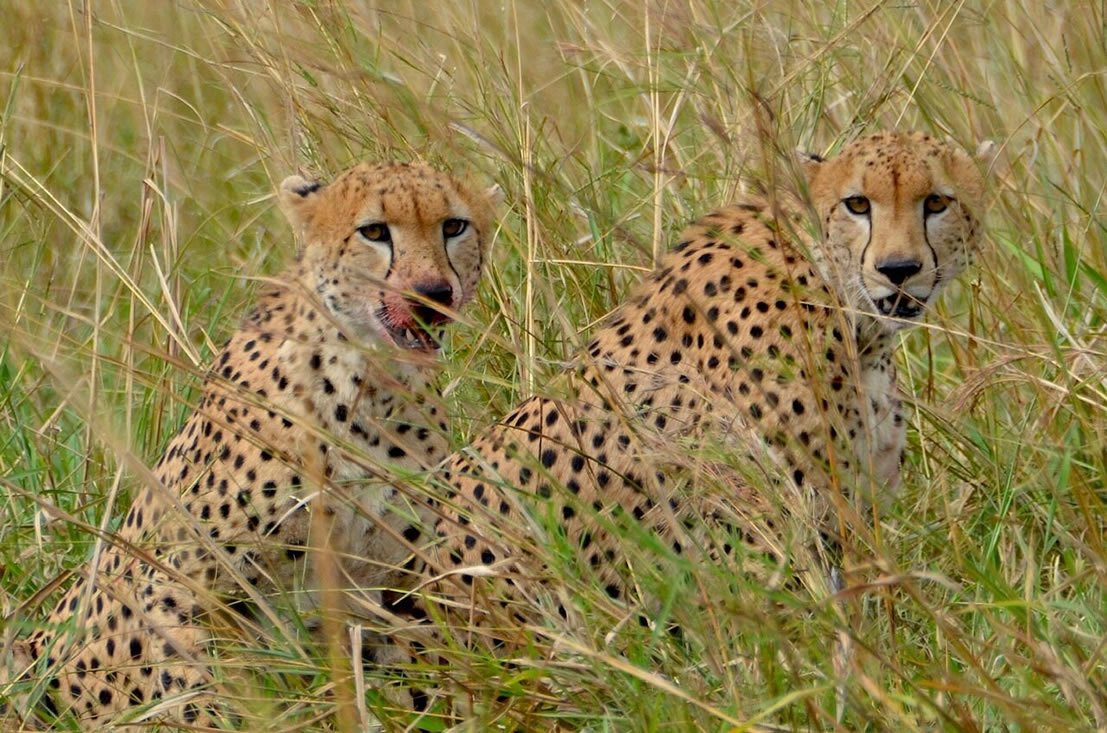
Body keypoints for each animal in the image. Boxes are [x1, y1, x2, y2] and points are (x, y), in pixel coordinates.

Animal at [2, 161, 502, 728]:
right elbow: (197, 689)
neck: (370, 384)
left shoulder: (395, 584)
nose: (432, 293)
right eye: (374, 231)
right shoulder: (179, 587)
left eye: (453, 226)